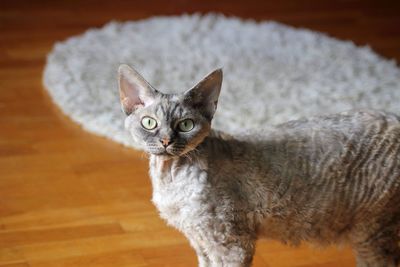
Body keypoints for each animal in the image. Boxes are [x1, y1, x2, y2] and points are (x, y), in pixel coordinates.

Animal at [118, 63, 400, 266]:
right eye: (149, 123)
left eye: (186, 125)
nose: (166, 141)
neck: (170, 176)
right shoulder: (201, 243)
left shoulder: (230, 245)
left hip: (371, 236)